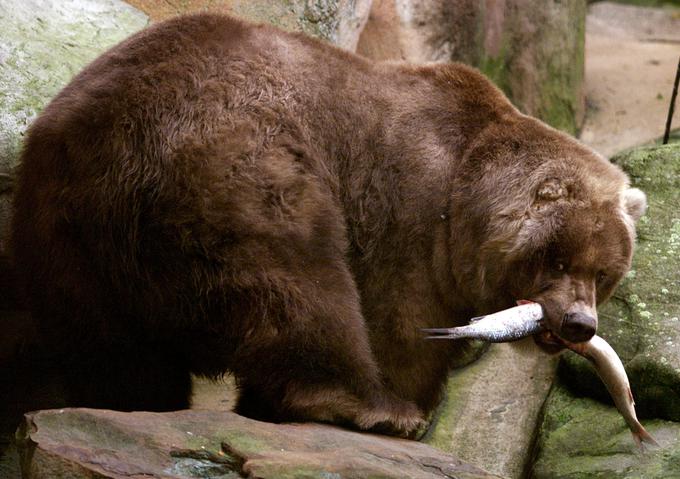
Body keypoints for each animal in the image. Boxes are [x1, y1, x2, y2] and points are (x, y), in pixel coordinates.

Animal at [11, 13, 648, 436]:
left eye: (605, 273)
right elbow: (400, 321)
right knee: (296, 278)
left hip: (66, 226)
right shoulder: (407, 211)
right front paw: (409, 404)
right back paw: (360, 405)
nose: (579, 324)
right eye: (559, 257)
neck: (466, 192)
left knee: (107, 344)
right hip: (239, 161)